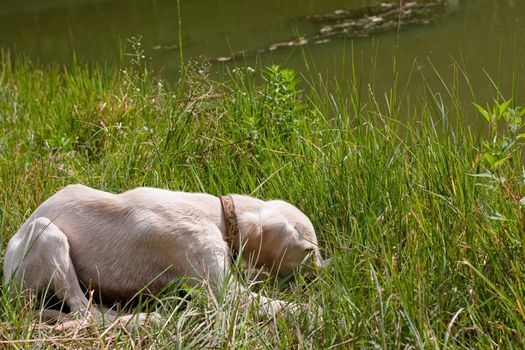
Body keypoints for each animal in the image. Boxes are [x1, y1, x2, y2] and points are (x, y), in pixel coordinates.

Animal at [4, 185, 322, 324]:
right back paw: (146, 318)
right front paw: (318, 311)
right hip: (47, 234)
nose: (324, 275)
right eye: (310, 251)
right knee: (86, 313)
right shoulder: (225, 293)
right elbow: (284, 306)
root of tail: (8, 288)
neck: (217, 215)